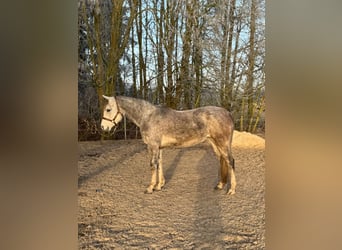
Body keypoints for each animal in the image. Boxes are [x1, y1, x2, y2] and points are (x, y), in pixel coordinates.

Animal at [100, 95, 236, 195]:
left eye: (108, 109)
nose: (103, 127)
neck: (148, 116)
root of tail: (227, 113)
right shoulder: (159, 148)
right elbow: (160, 164)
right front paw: (159, 185)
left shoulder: (153, 146)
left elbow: (153, 165)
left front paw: (150, 188)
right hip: (214, 143)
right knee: (222, 160)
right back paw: (220, 185)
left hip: (222, 143)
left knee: (230, 161)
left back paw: (231, 190)